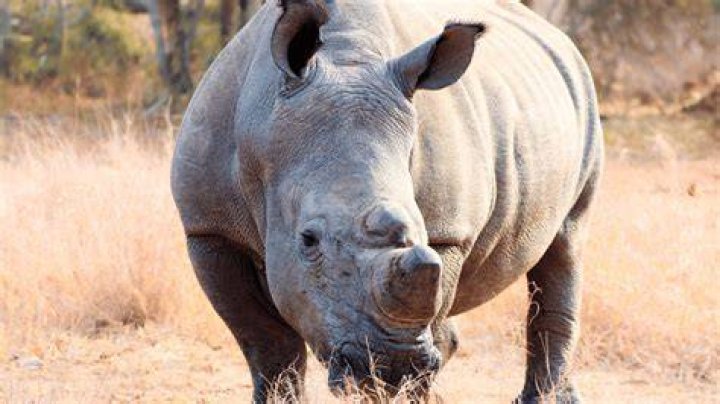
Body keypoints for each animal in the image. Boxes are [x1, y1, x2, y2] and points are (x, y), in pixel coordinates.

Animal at [171, 0, 604, 402]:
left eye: (423, 230)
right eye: (308, 240)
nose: (393, 365)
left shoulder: (448, 234)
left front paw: (403, 387)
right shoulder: (209, 229)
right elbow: (266, 342)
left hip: (584, 98)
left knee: (566, 242)